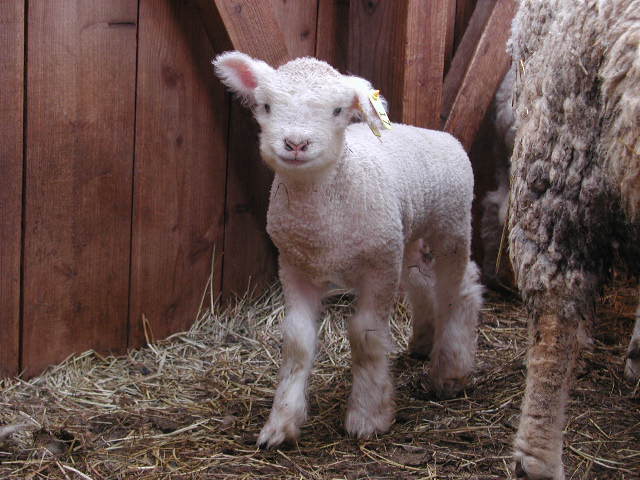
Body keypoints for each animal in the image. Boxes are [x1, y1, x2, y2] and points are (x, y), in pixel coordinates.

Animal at [212, 50, 482, 448]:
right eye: (266, 105)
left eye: (338, 110)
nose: (295, 143)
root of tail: (438, 133)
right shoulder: (294, 266)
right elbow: (297, 341)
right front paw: (281, 423)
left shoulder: (378, 268)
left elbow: (366, 336)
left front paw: (367, 417)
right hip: (403, 235)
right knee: (420, 279)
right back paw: (422, 341)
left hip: (451, 224)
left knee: (458, 290)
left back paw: (450, 370)